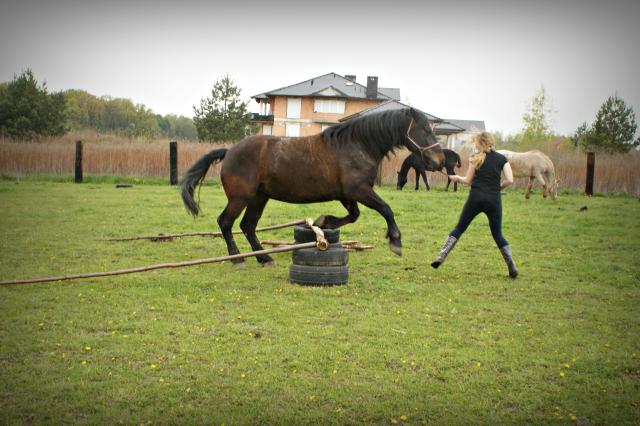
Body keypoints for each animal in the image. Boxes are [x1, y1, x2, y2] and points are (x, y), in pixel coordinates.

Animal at [182, 108, 444, 264]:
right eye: (424, 129)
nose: (439, 161)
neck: (358, 145)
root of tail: (229, 151)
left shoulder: (347, 195)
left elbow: (354, 215)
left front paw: (323, 222)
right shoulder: (358, 191)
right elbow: (386, 209)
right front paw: (395, 241)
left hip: (259, 198)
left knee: (247, 226)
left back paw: (264, 258)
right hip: (240, 198)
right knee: (226, 223)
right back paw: (237, 258)